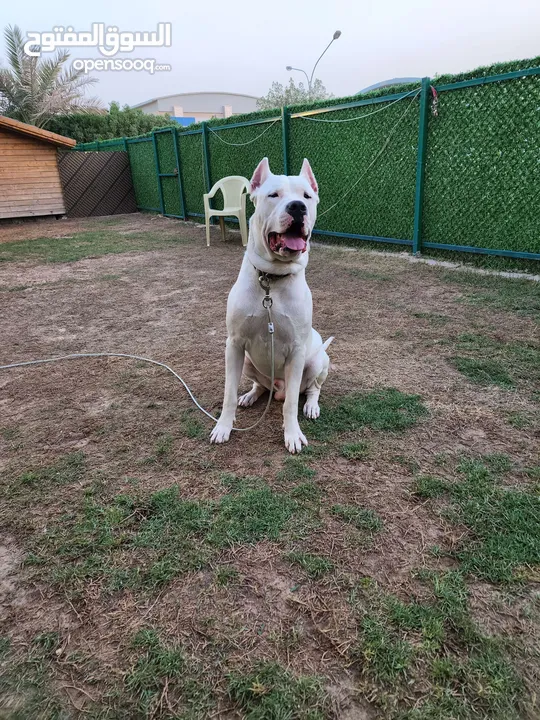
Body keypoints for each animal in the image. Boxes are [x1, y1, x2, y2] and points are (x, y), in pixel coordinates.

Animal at [209, 158, 332, 452]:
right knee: (261, 386)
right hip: (248, 361)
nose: (297, 207)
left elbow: (291, 404)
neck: (271, 279)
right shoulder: (234, 345)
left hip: (318, 361)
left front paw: (292, 434)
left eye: (306, 196)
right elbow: (228, 394)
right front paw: (223, 427)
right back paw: (251, 395)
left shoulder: (297, 350)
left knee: (312, 389)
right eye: (273, 195)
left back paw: (311, 406)